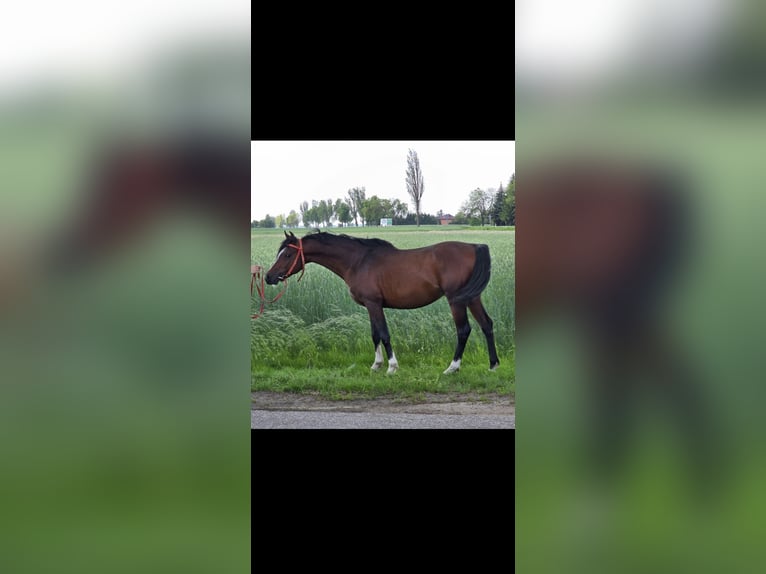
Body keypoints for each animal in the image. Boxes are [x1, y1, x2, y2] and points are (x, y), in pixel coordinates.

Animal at [264, 230, 500, 375]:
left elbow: (384, 334)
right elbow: (375, 334)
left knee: (463, 330)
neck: (358, 261)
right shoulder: (371, 306)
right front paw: (376, 365)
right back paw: (493, 365)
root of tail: (474, 247)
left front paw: (391, 367)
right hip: (472, 297)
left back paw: (452, 368)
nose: (268, 277)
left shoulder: (374, 304)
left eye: (287, 254)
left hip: (456, 301)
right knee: (486, 325)